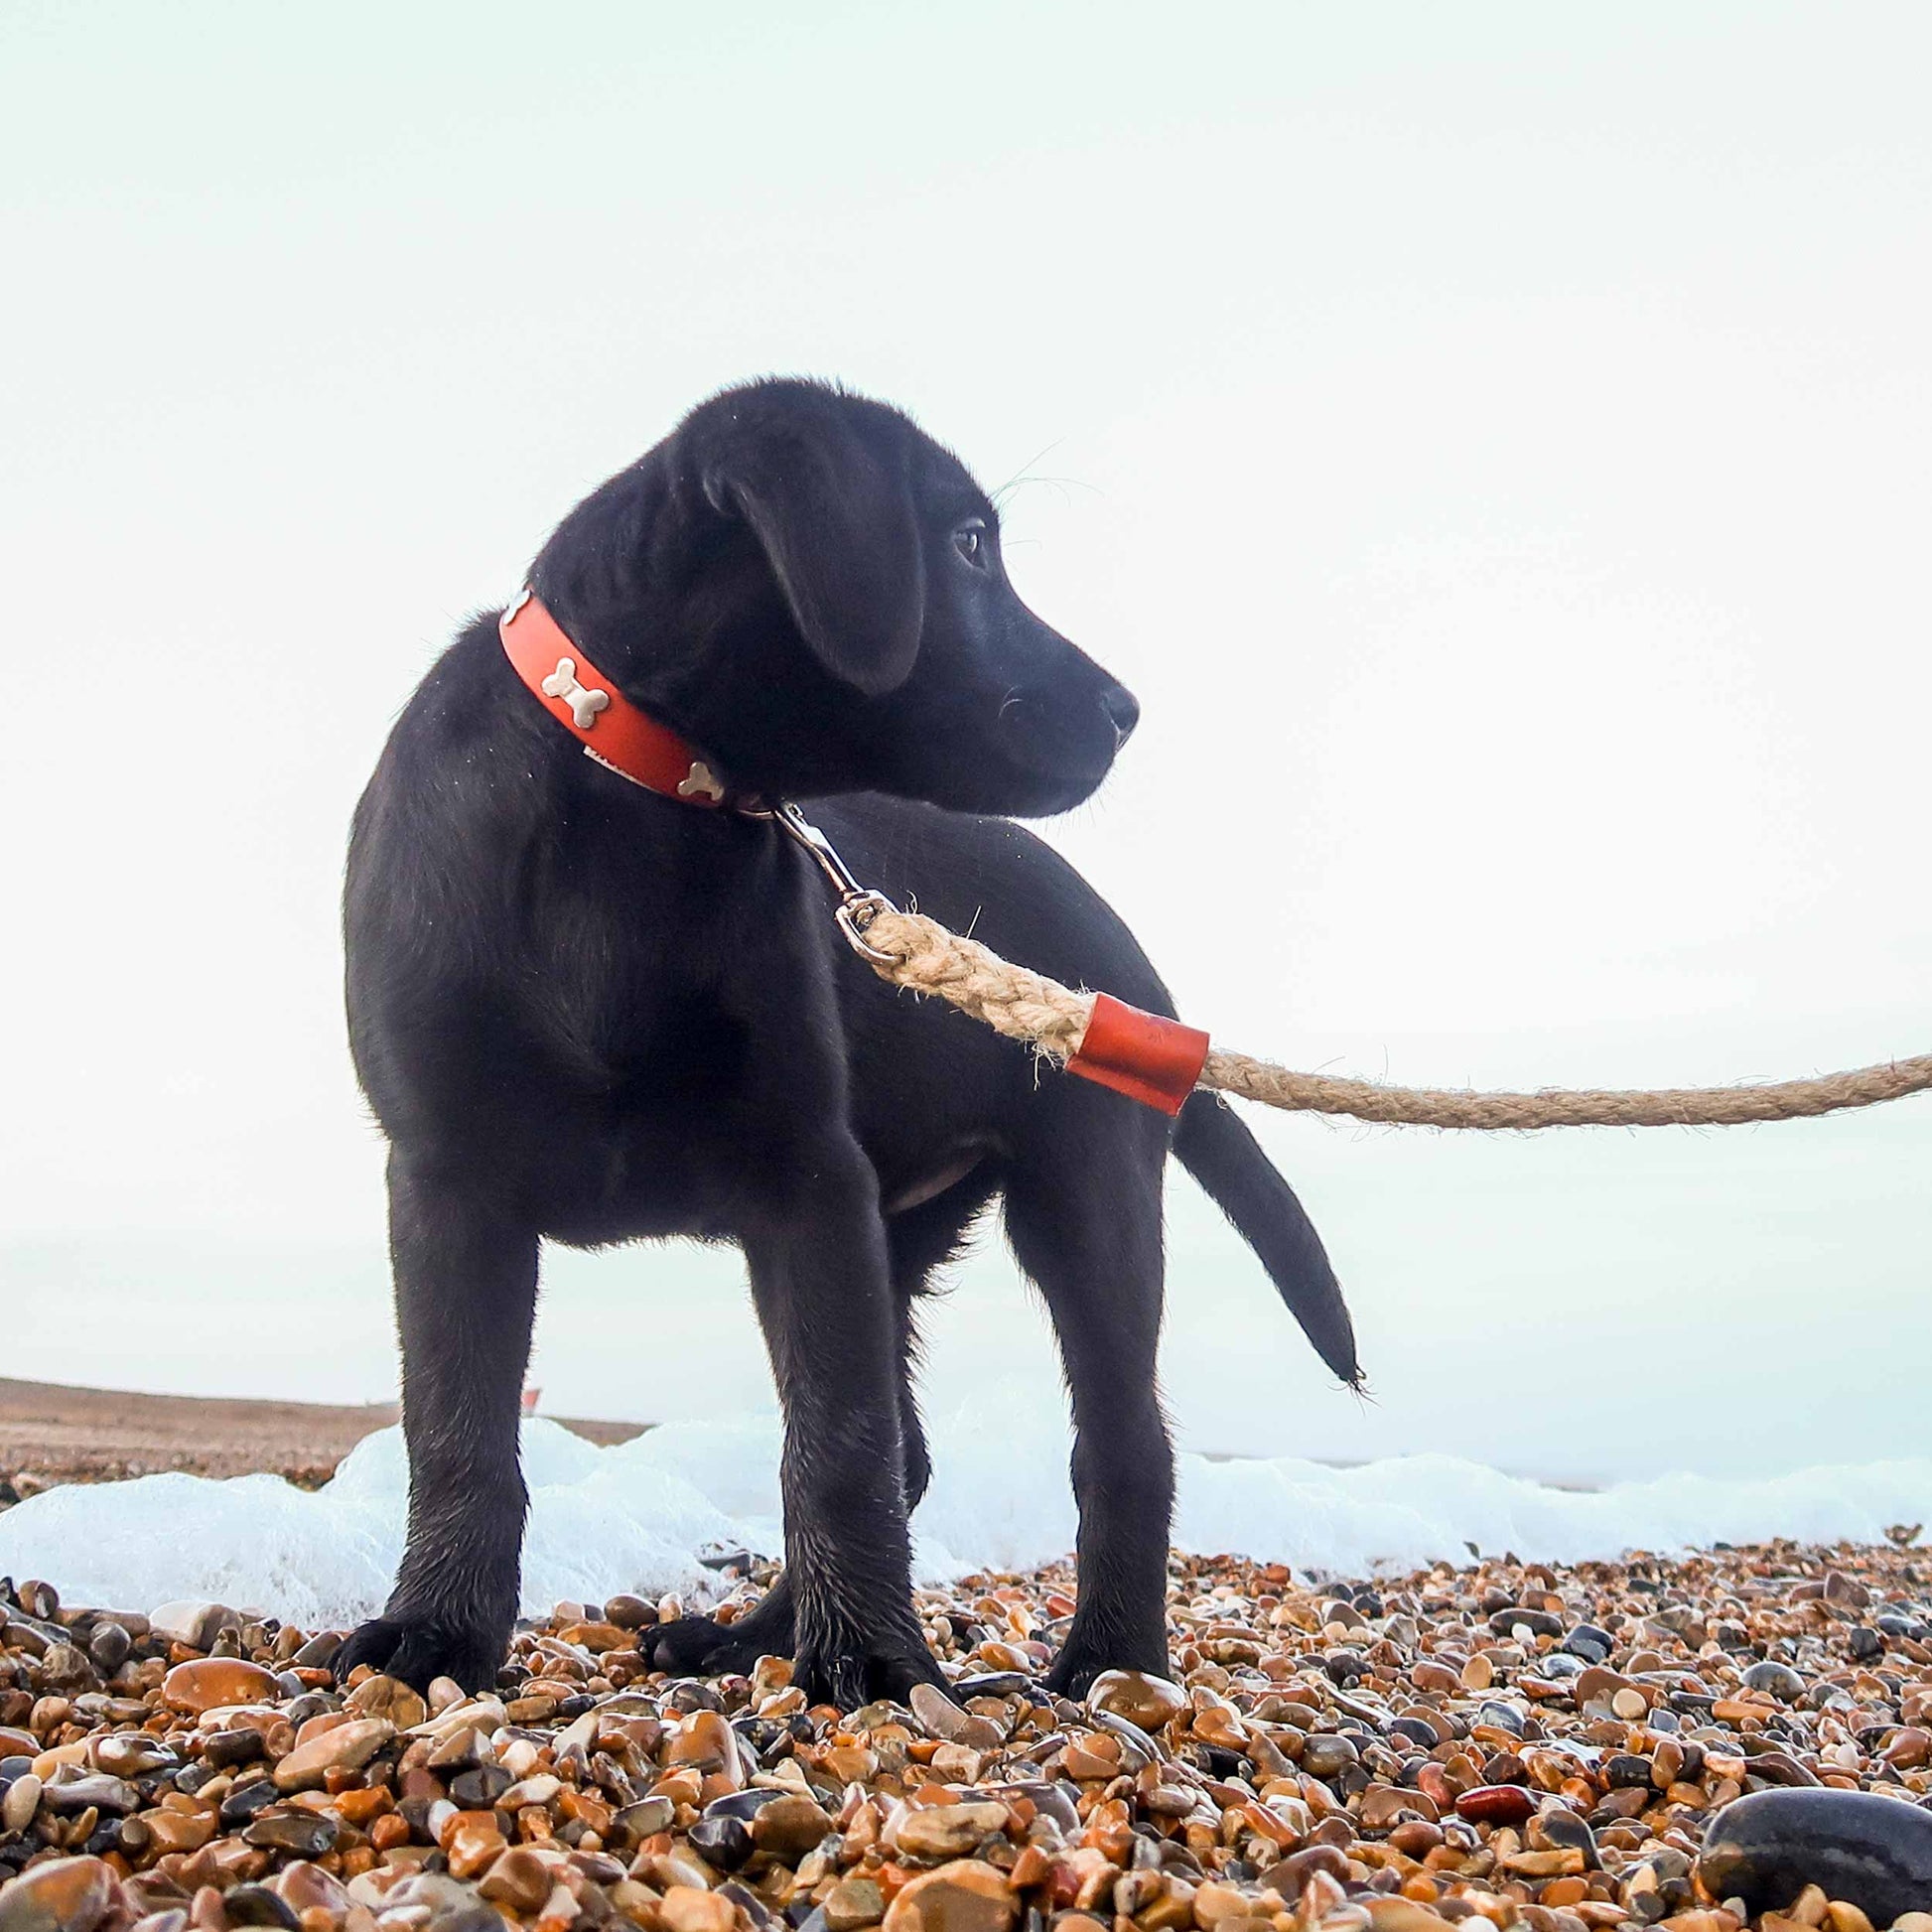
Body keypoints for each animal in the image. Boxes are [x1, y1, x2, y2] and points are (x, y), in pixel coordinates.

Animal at [336, 380, 1359, 1708]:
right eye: (966, 545)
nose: (1127, 710)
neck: (630, 790)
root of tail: (1124, 972)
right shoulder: (447, 1178)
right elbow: (458, 1429)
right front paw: (436, 1628)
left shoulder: (806, 1177)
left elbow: (835, 1441)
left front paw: (872, 1656)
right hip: (901, 1227)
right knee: (918, 1447)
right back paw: (745, 1637)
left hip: (1079, 1190)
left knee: (1118, 1443)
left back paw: (1107, 1658)